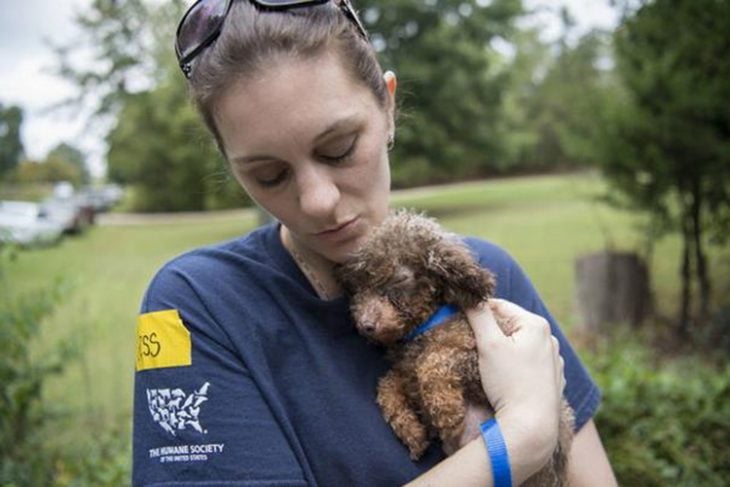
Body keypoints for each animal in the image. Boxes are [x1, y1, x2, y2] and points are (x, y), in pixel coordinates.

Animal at [334, 211, 576, 487]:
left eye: (400, 278)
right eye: (358, 287)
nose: (365, 325)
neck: (423, 328)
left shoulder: (476, 359)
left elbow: (435, 359)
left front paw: (446, 411)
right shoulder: (404, 370)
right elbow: (386, 384)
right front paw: (412, 433)